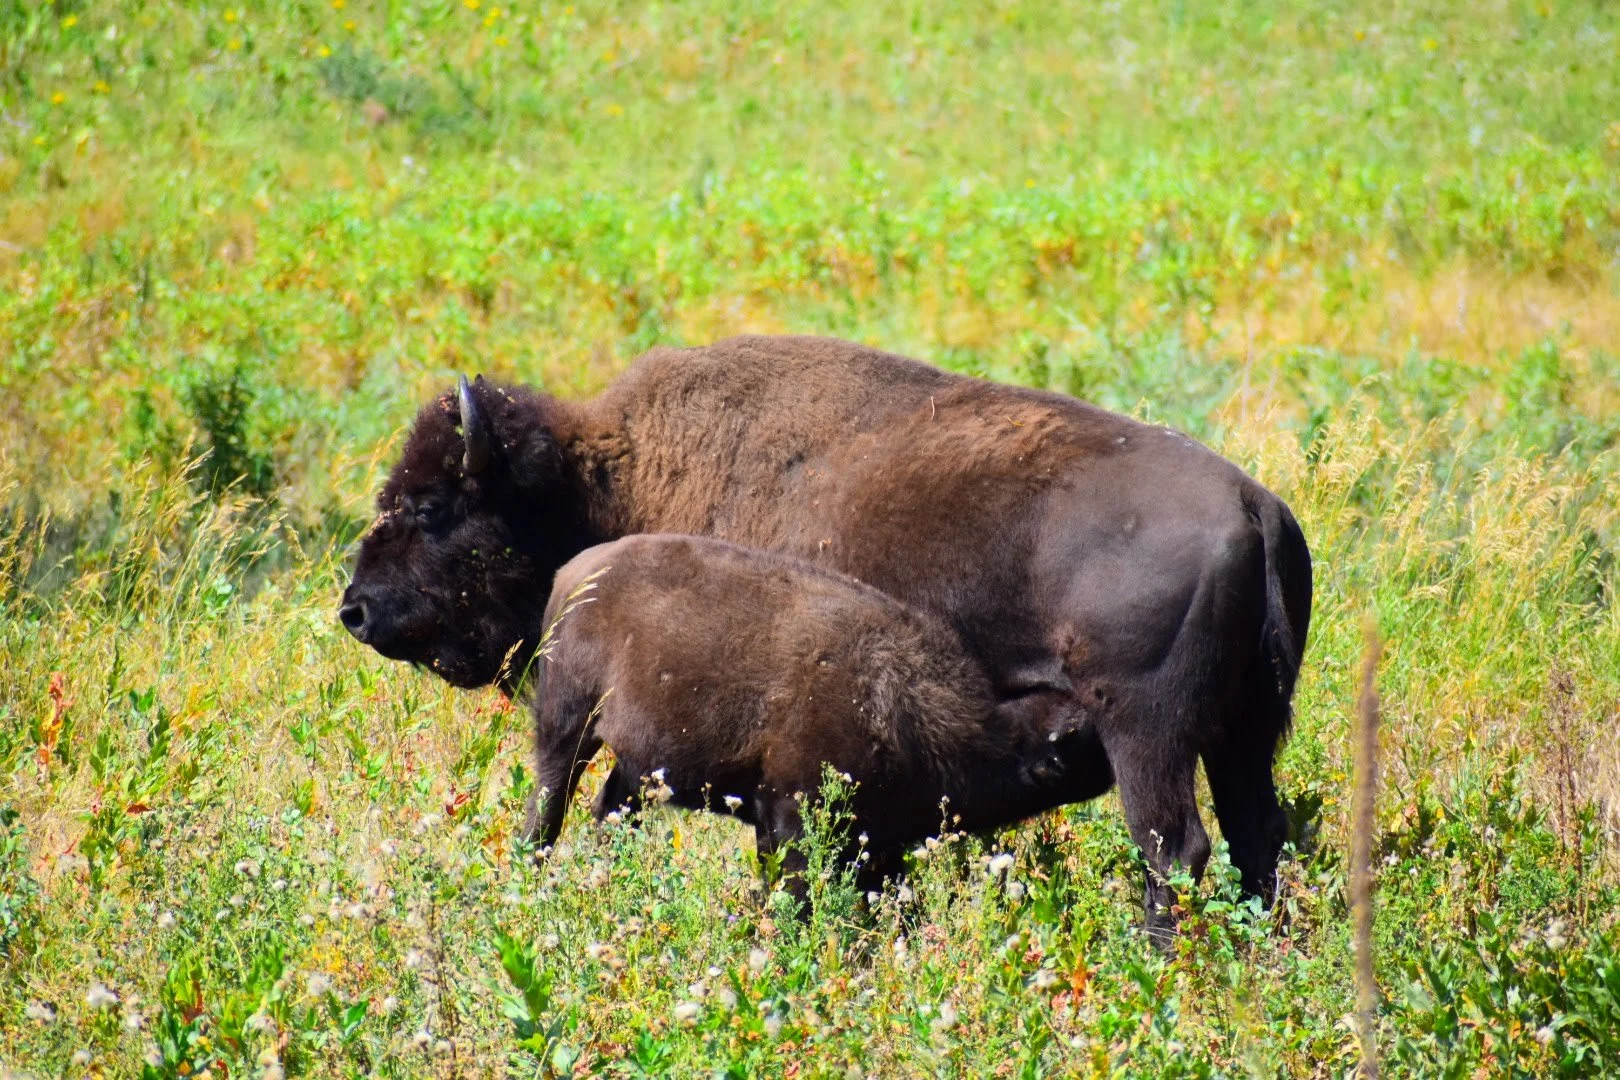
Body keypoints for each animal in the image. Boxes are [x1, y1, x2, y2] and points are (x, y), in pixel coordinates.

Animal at [341, 334, 1312, 940]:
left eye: (431, 507)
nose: (355, 610)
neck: (606, 477)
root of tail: (1257, 509)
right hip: (1247, 732)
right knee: (1257, 836)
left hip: (1148, 736)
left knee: (1174, 847)